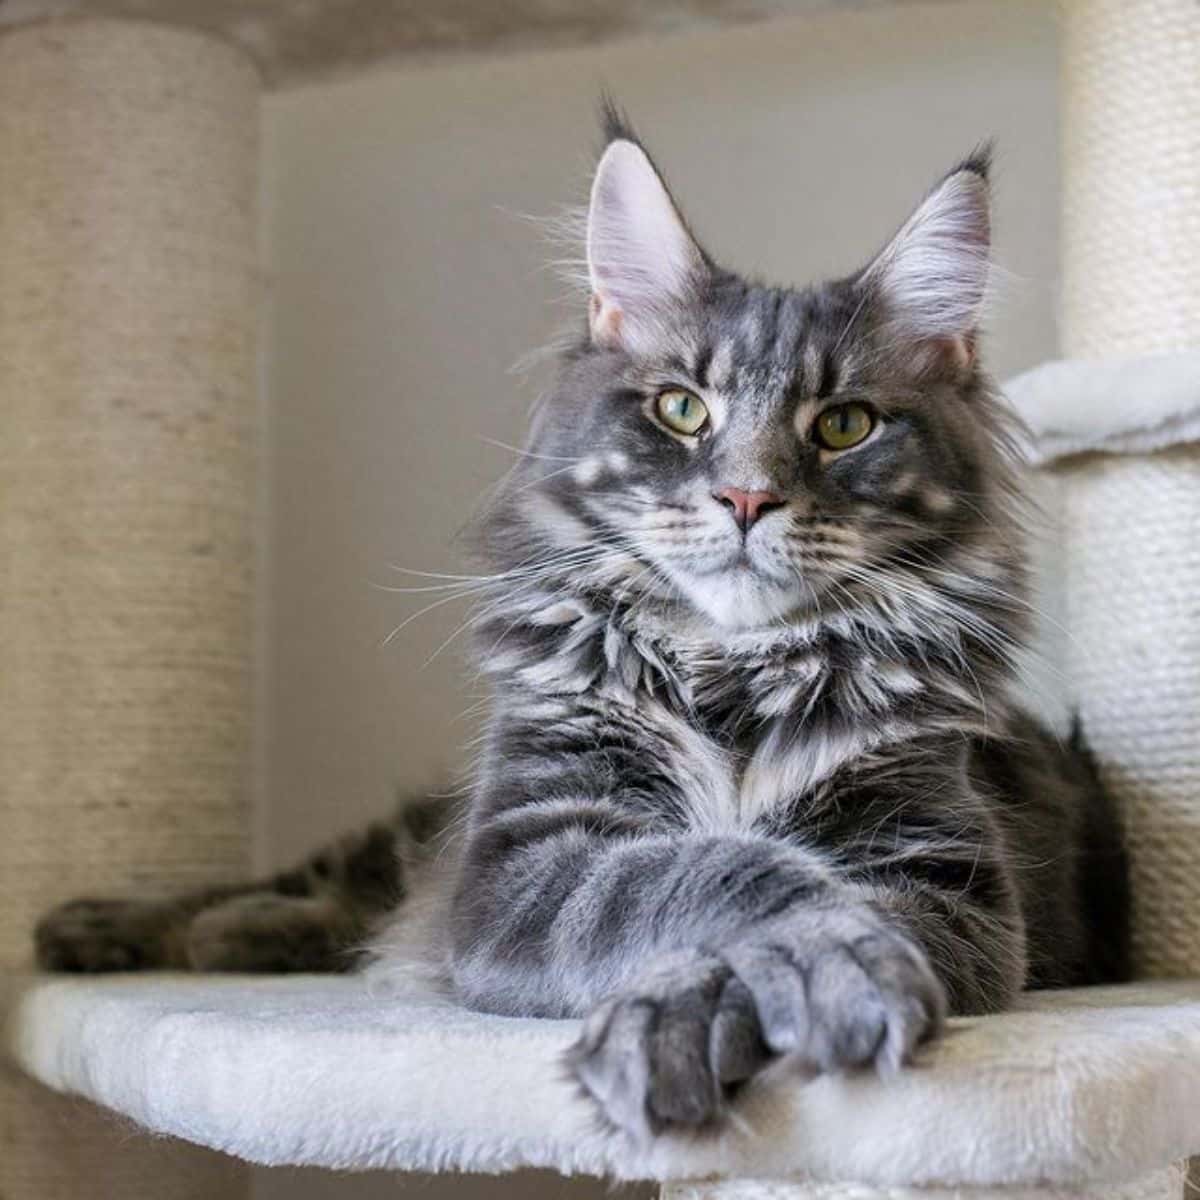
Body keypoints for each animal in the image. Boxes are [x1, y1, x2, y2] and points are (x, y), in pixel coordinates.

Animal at [35, 105, 1123, 1142]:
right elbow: (713, 872)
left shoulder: (943, 872)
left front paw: (715, 1010)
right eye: (682, 409)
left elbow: (810, 891)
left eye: (845, 424)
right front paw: (778, 971)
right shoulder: (519, 855)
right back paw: (114, 928)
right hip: (419, 834)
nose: (746, 497)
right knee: (317, 877)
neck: (732, 673)